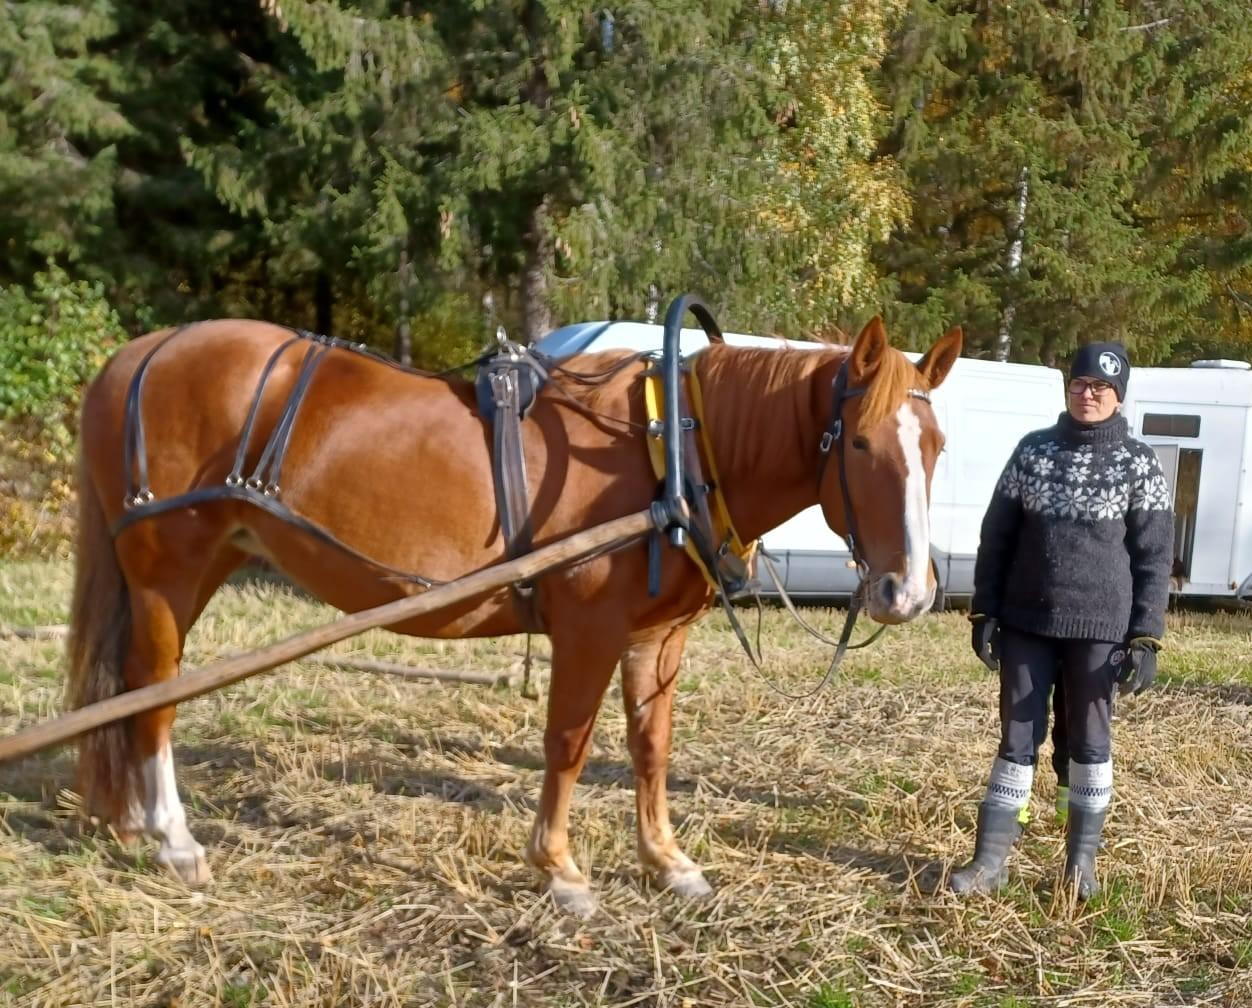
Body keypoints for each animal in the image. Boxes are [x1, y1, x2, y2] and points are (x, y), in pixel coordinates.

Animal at [68, 313, 961, 911]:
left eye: (937, 446)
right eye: (858, 444)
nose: (908, 592)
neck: (669, 447)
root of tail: (136, 354)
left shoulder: (656, 637)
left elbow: (650, 748)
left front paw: (666, 862)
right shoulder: (589, 630)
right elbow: (568, 744)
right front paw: (559, 871)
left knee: (132, 692)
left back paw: (132, 825)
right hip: (169, 571)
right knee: (154, 693)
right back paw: (173, 839)